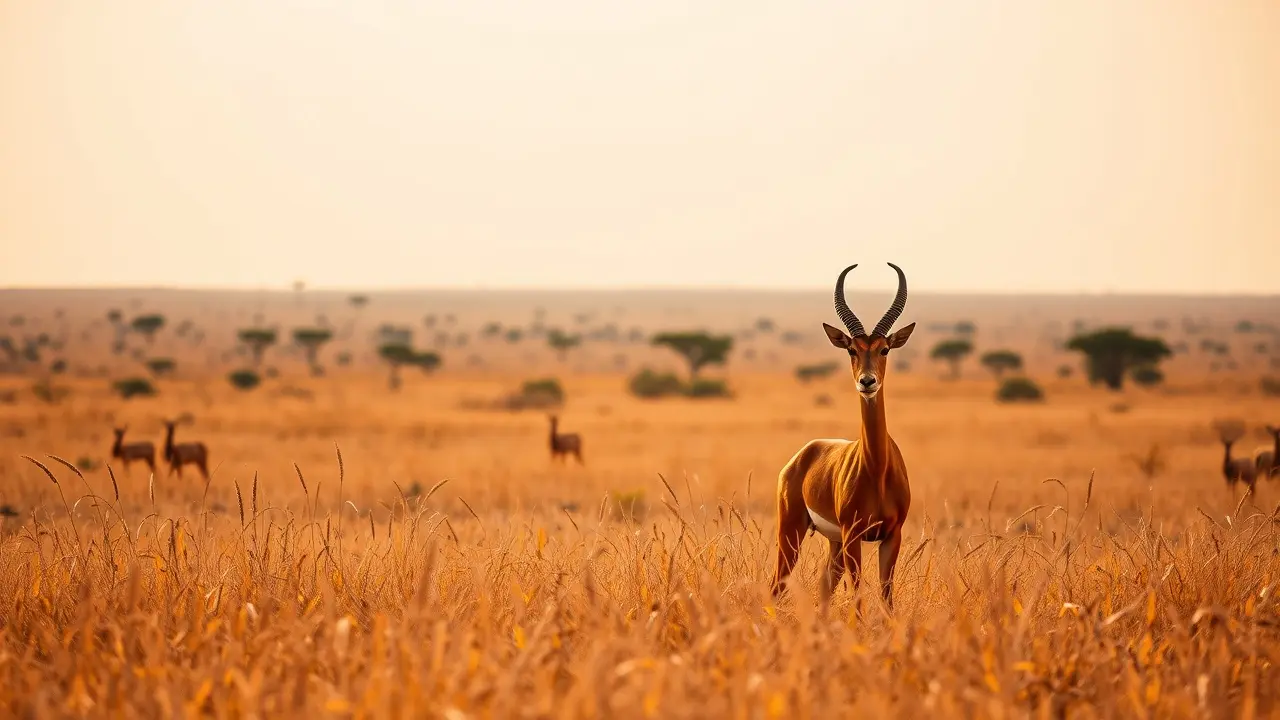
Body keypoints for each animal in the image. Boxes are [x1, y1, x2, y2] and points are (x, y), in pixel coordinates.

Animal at [772, 262, 915, 610]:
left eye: (884, 349)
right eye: (852, 349)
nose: (867, 381)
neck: (878, 470)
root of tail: (803, 454)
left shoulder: (892, 535)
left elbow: (886, 596)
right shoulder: (854, 535)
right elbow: (859, 596)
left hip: (832, 543)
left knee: (824, 586)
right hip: (791, 532)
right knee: (776, 585)